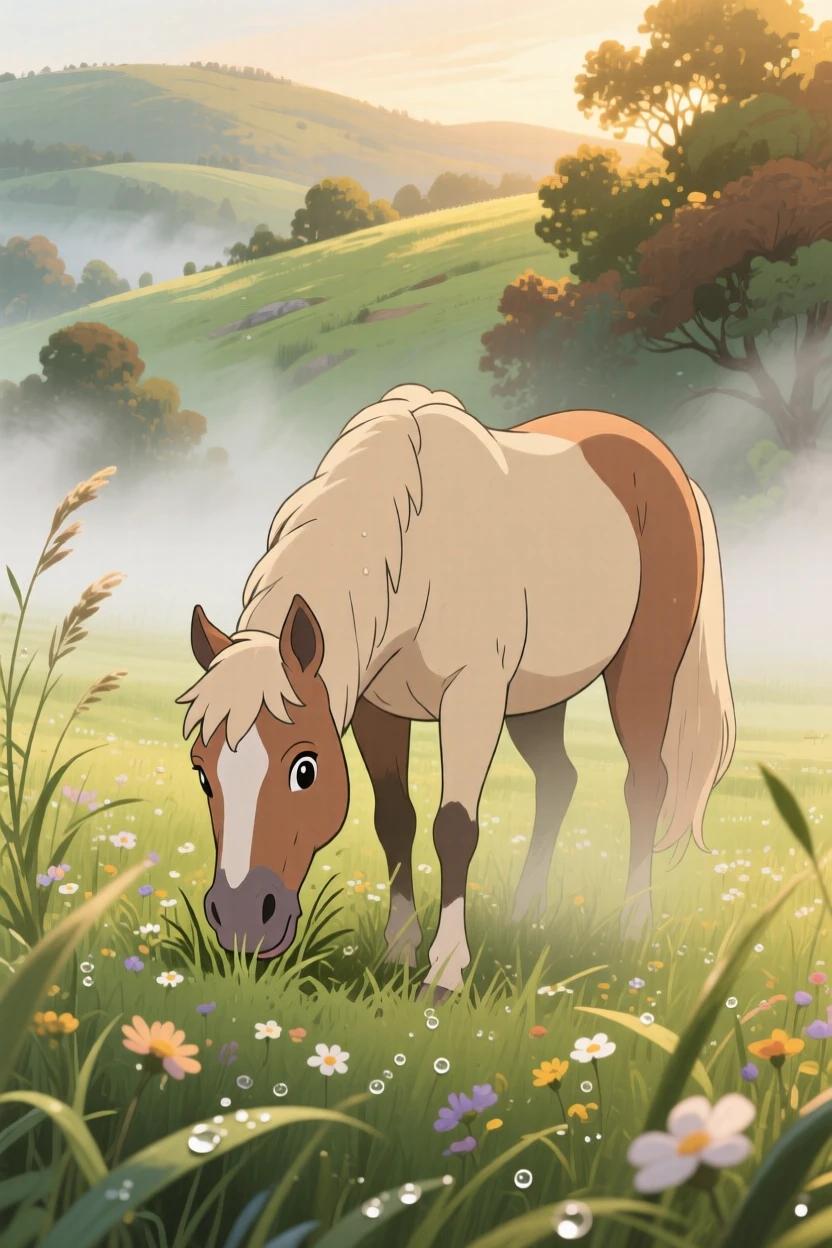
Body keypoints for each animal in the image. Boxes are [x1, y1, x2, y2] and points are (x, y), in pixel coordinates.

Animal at [177, 383, 736, 1003]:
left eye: (306, 767)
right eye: (201, 772)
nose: (243, 920)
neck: (416, 556)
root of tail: (667, 463)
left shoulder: (473, 697)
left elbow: (454, 827)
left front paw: (444, 972)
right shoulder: (374, 707)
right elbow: (394, 818)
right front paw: (399, 951)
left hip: (641, 671)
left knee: (645, 783)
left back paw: (633, 926)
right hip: (537, 698)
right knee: (558, 780)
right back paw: (525, 915)